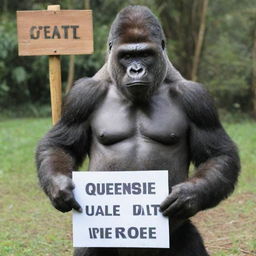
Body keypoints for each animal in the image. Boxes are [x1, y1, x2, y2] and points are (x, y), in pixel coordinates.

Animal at [35, 4, 240, 256]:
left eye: (144, 54)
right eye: (127, 56)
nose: (136, 69)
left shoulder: (197, 99)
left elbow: (218, 154)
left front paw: (188, 196)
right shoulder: (81, 95)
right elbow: (61, 145)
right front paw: (60, 188)